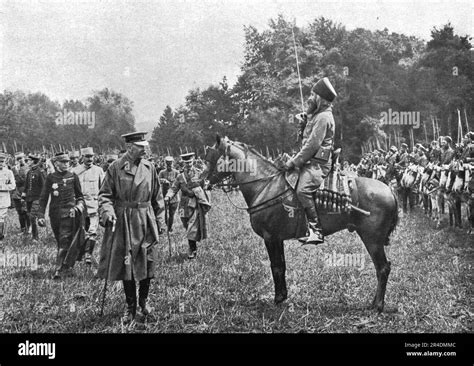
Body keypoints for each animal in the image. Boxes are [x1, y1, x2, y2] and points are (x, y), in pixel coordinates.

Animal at [202, 136, 398, 314]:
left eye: (212, 157)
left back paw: (378, 306)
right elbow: (281, 265)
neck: (265, 186)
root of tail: (389, 190)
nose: (202, 182)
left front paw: (278, 298)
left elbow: (276, 266)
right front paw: (283, 295)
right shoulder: (277, 239)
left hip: (372, 240)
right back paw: (373, 303)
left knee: (383, 268)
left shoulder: (270, 237)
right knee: (381, 268)